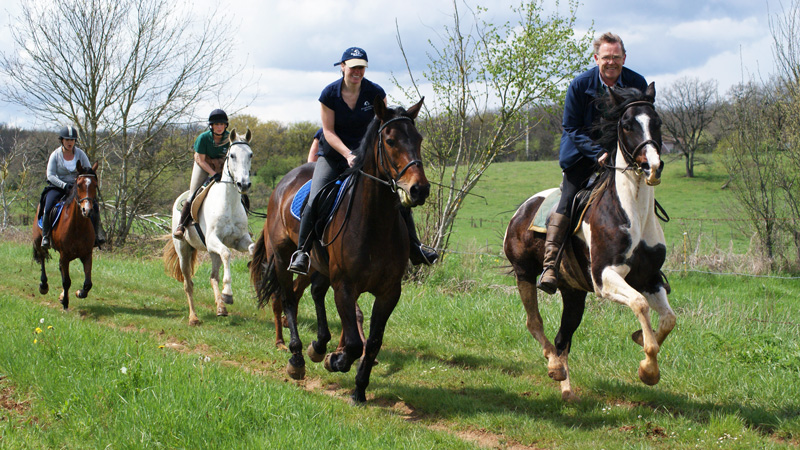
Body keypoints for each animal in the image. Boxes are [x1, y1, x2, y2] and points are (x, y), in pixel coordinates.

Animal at [33, 162, 99, 310]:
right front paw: (65, 304)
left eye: (95, 184)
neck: (77, 226)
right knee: (42, 258)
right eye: (78, 185)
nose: (87, 210)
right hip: (38, 241)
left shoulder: (87, 255)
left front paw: (79, 293)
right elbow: (66, 281)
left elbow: (88, 283)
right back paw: (43, 286)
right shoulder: (65, 255)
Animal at [166, 128, 256, 326]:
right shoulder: (213, 239)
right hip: (184, 250)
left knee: (213, 276)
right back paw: (194, 317)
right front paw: (228, 294)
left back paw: (221, 308)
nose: (244, 184)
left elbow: (253, 248)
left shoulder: (240, 240)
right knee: (188, 284)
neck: (229, 203)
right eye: (232, 155)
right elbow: (227, 254)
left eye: (250, 155)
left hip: (211, 251)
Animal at [252, 99, 428, 404]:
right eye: (390, 140)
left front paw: (359, 389)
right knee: (288, 299)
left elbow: (373, 342)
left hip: (318, 265)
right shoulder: (345, 286)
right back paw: (297, 358)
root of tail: (284, 183)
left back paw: (319, 346)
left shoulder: (389, 292)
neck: (374, 223)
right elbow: (356, 343)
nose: (419, 189)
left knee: (315, 292)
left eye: (418, 139)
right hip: (285, 258)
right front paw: (337, 360)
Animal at [506, 84, 676, 400]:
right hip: (525, 273)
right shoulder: (605, 278)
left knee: (563, 337)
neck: (632, 212)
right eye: (627, 124)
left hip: (573, 293)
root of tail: (522, 209)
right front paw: (648, 369)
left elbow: (668, 319)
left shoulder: (650, 279)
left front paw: (641, 343)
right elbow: (640, 305)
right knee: (534, 323)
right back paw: (554, 367)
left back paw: (566, 387)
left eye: (657, 122)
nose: (652, 166)